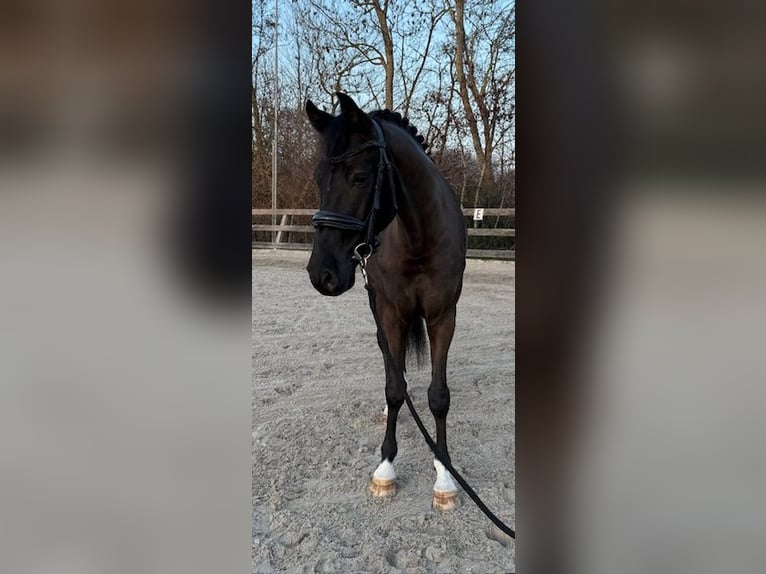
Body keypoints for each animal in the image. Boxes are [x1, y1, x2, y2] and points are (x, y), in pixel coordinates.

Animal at [304, 92, 467, 511]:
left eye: (359, 177)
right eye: (319, 179)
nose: (321, 274)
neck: (419, 237)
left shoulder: (443, 316)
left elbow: (438, 396)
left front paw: (445, 476)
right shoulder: (391, 312)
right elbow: (393, 388)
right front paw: (385, 470)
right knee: (388, 360)